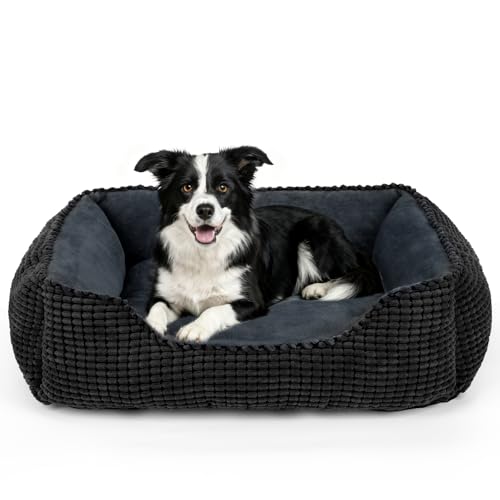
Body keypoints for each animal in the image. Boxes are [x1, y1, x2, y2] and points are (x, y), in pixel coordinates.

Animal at [135, 146, 381, 343]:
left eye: (223, 188)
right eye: (186, 187)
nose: (205, 210)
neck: (204, 253)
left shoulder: (252, 302)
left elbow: (215, 310)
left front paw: (195, 327)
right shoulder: (163, 296)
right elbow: (155, 309)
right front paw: (150, 328)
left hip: (315, 229)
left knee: (352, 274)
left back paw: (317, 288)